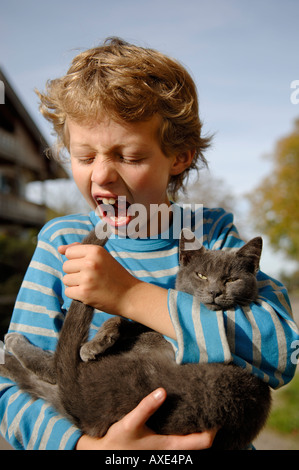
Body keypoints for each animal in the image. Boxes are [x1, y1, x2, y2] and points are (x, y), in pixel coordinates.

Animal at [0, 228, 272, 452]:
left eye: (231, 279)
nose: (215, 291)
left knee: (52, 368)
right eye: (201, 275)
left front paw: (90, 346)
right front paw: (98, 340)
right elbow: (120, 319)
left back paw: (8, 351)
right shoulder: (139, 325)